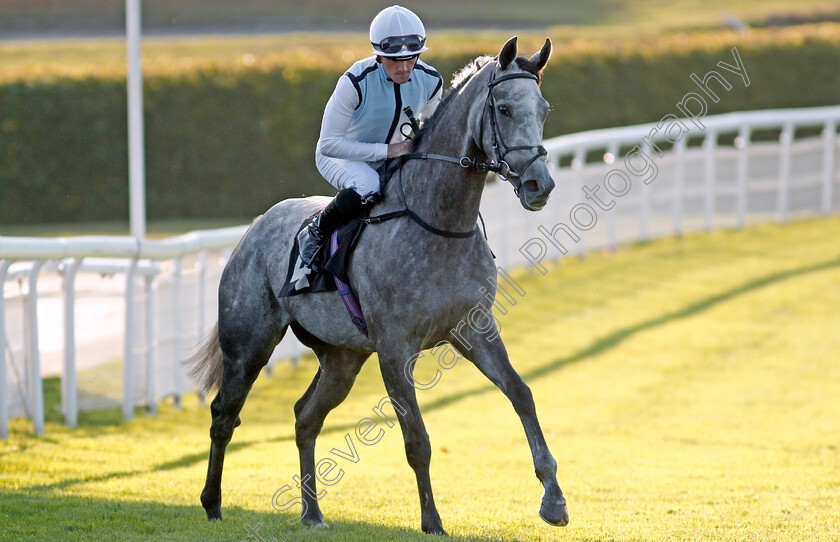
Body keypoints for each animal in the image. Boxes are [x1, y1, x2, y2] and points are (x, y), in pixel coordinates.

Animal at [189, 37, 572, 536]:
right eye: (504, 109)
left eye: (543, 108)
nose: (538, 185)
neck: (438, 222)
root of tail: (255, 228)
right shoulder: (394, 349)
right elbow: (417, 440)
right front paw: (432, 520)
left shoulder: (474, 330)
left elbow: (522, 395)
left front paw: (554, 500)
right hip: (248, 343)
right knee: (224, 415)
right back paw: (213, 503)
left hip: (343, 357)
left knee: (305, 417)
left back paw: (311, 513)